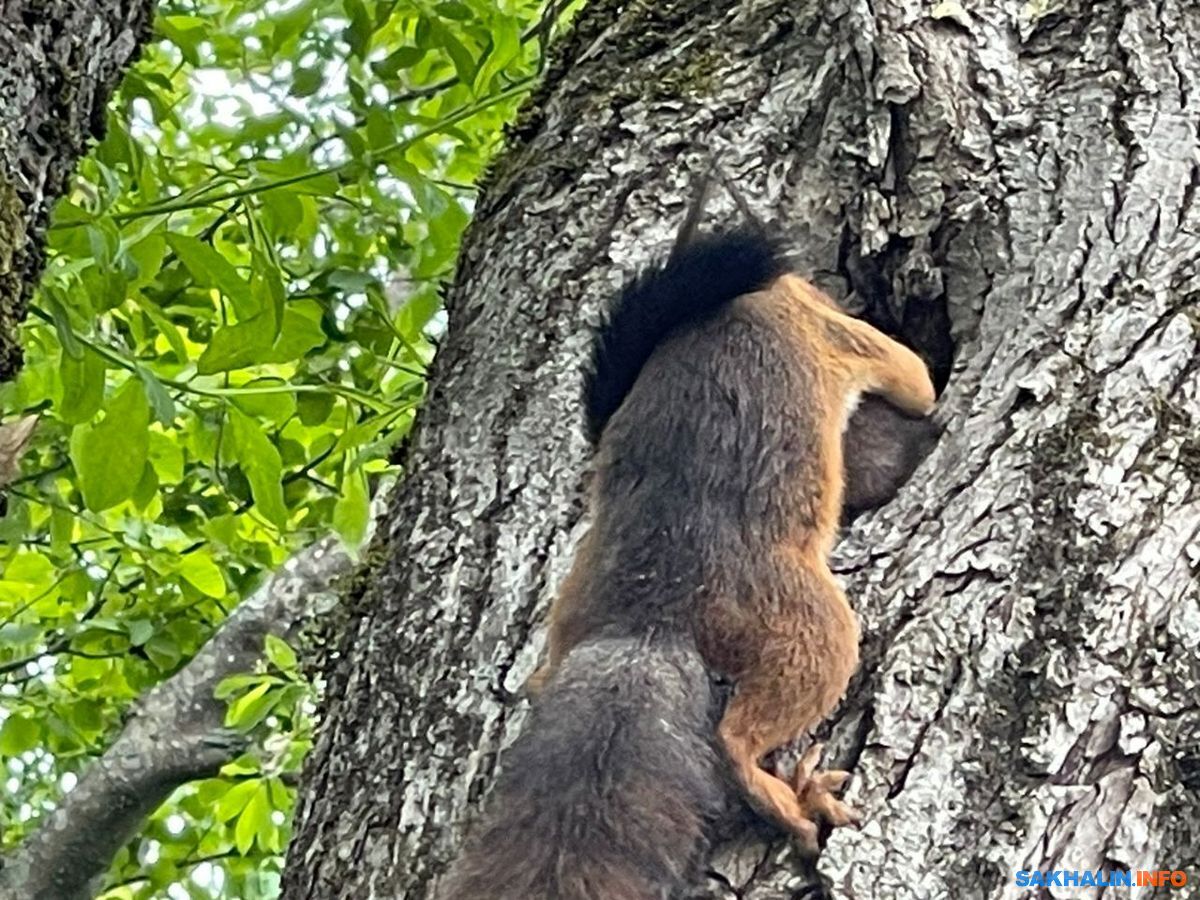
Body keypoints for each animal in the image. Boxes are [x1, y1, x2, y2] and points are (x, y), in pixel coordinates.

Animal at [439, 195, 936, 897]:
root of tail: (650, 617)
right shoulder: (841, 336)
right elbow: (911, 372)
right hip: (810, 626)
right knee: (737, 741)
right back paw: (795, 801)